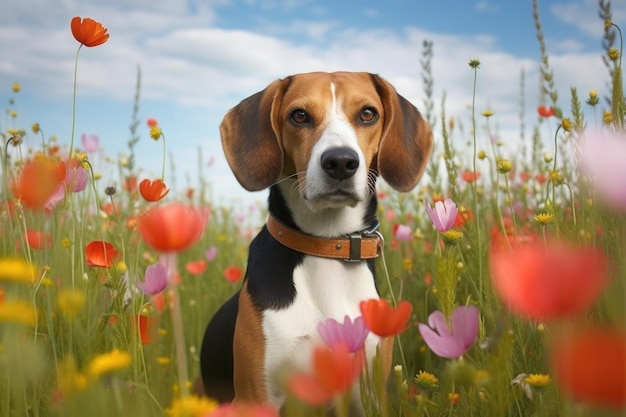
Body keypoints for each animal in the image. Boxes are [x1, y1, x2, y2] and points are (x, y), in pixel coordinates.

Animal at [197, 70, 432, 412]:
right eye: (299, 115)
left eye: (368, 114)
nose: (341, 162)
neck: (326, 245)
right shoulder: (256, 397)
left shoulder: (371, 395)